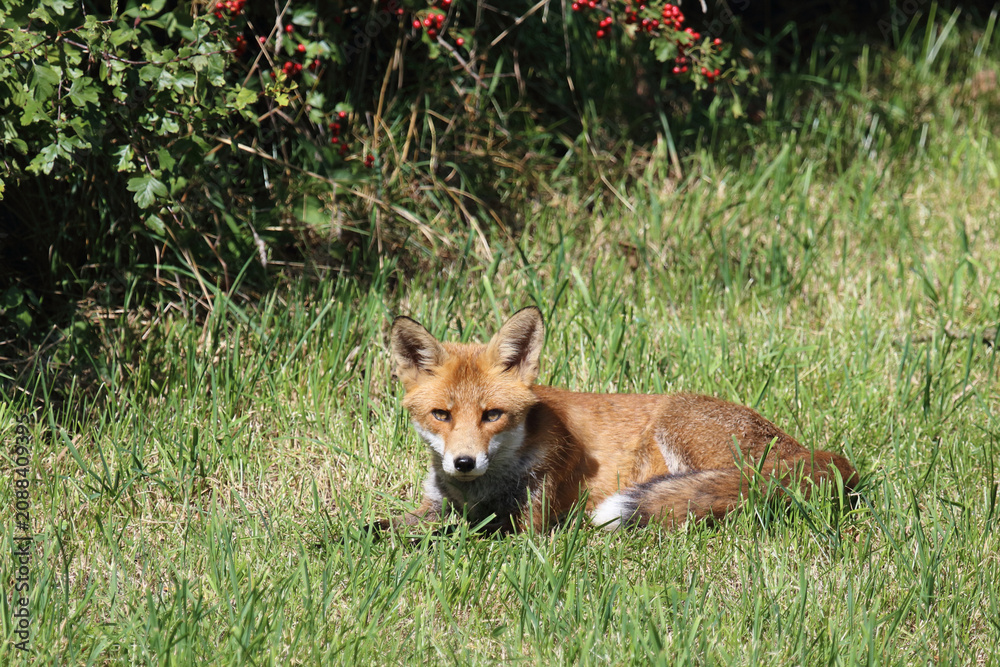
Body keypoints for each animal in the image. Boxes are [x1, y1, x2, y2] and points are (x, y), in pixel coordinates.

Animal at [389, 307, 858, 533]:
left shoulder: (532, 525)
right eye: (441, 415)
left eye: (492, 415)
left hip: (678, 428)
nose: (463, 463)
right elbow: (382, 527)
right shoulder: (435, 508)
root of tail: (815, 453)